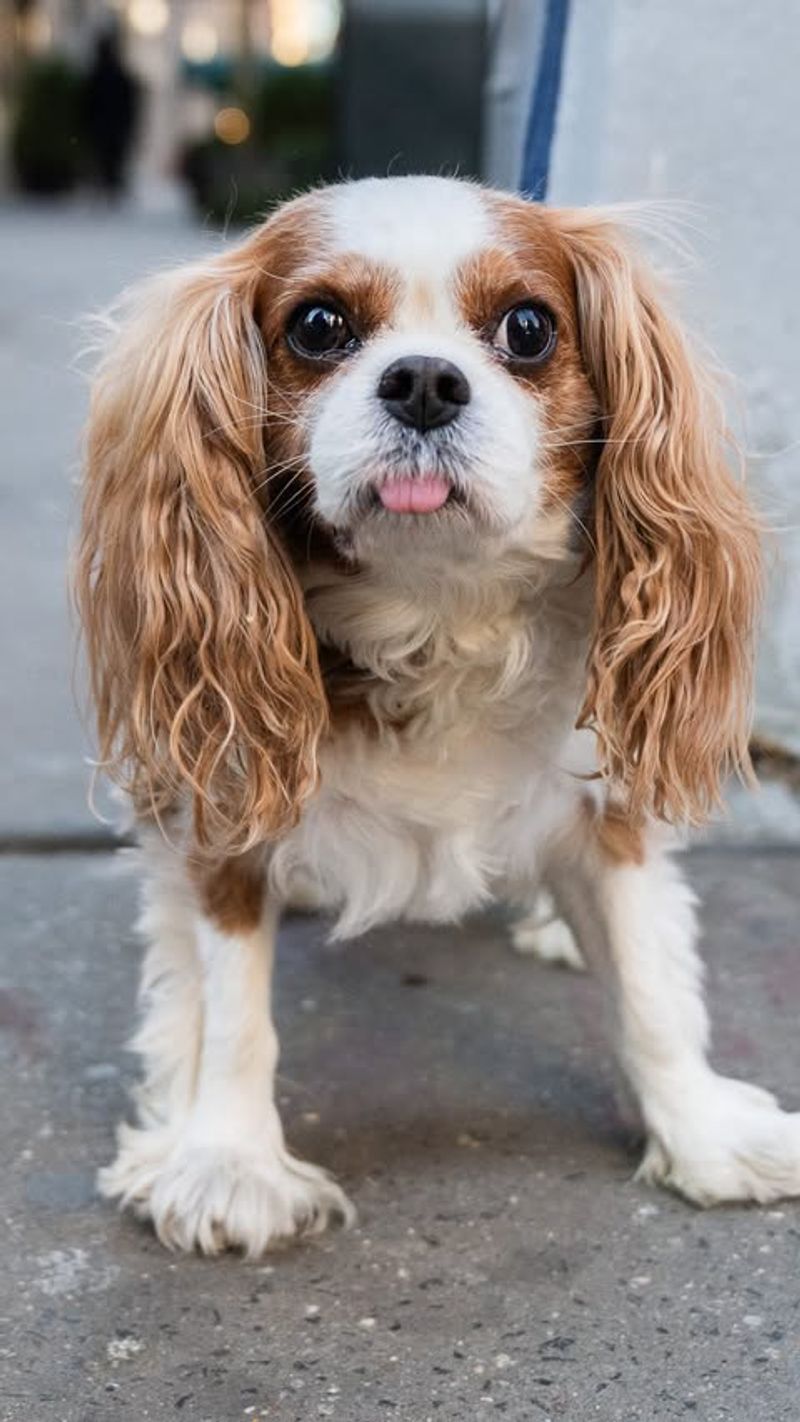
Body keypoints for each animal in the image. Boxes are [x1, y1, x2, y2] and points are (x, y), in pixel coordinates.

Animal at [78, 174, 800, 1257]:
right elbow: (231, 1005)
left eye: (529, 328)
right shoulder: (222, 804)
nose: (422, 380)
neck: (435, 615)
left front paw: (703, 1134)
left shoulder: (599, 806)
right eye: (319, 325)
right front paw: (227, 1163)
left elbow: (647, 986)